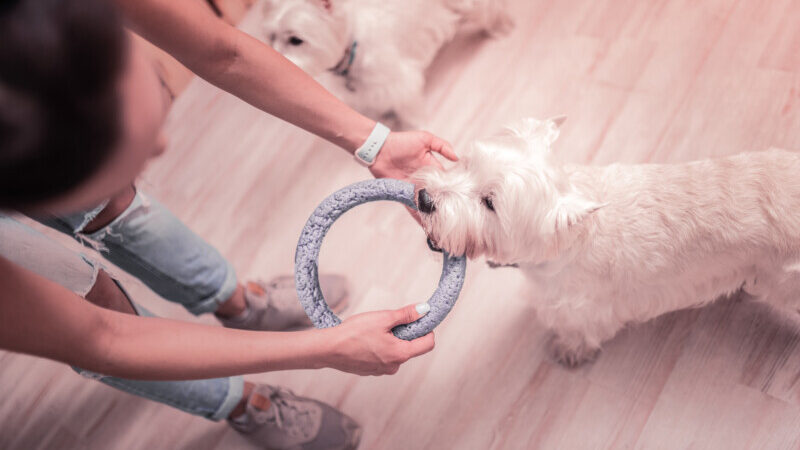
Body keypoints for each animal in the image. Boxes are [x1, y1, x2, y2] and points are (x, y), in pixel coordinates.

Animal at [412, 118, 800, 366]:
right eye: (466, 162)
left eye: (490, 202)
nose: (425, 200)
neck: (561, 242)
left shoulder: (582, 306)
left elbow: (580, 330)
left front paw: (569, 351)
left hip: (785, 281)